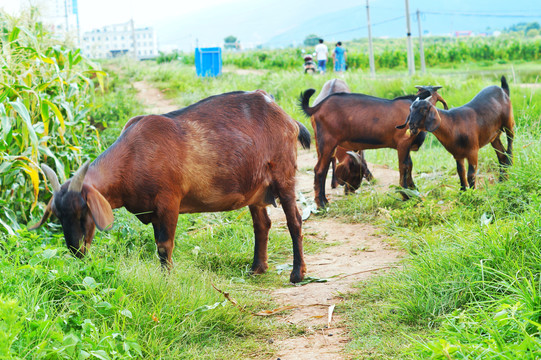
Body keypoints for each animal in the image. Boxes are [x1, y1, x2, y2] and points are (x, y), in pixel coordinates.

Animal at [32, 90, 312, 284]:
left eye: (84, 212)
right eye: (58, 216)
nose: (76, 251)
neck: (133, 155)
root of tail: (287, 118)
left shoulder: (168, 203)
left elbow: (164, 247)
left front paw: (167, 281)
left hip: (284, 176)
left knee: (295, 220)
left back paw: (297, 274)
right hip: (255, 187)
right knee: (262, 224)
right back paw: (256, 268)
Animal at [300, 85, 448, 207]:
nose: (352, 190)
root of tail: (317, 107)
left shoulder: (407, 147)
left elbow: (410, 166)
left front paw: (413, 191)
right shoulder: (403, 143)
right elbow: (404, 167)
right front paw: (406, 195)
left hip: (321, 144)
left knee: (322, 169)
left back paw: (324, 201)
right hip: (328, 142)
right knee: (320, 170)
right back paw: (321, 204)